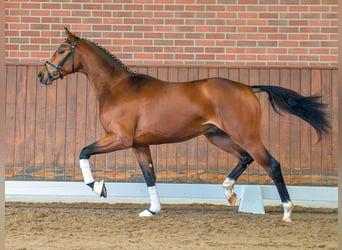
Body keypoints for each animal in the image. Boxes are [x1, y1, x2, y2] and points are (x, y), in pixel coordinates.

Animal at [37, 28, 328, 222]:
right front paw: (152, 210)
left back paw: (287, 211)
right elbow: (150, 176)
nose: (42, 75)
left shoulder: (119, 139)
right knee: (245, 158)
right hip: (217, 136)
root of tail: (247, 87)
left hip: (245, 135)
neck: (118, 88)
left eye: (61, 50)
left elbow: (83, 152)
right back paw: (229, 193)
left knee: (272, 164)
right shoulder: (139, 144)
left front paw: (99, 188)